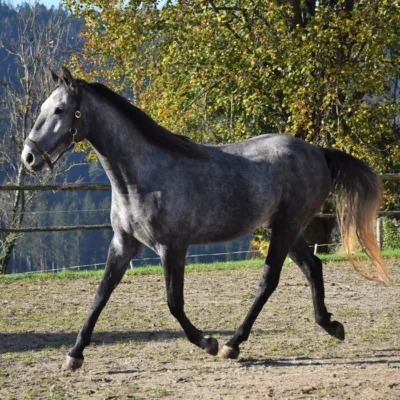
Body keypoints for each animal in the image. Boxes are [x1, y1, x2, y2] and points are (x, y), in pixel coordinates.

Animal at [19, 67, 390, 370]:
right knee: (313, 267)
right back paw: (331, 325)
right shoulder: (123, 244)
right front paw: (74, 354)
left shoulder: (172, 247)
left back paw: (232, 344)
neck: (140, 177)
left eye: (60, 110)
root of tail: (318, 151)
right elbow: (100, 295)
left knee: (269, 281)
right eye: (42, 109)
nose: (29, 157)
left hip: (286, 227)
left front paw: (207, 342)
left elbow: (174, 302)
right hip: (287, 227)